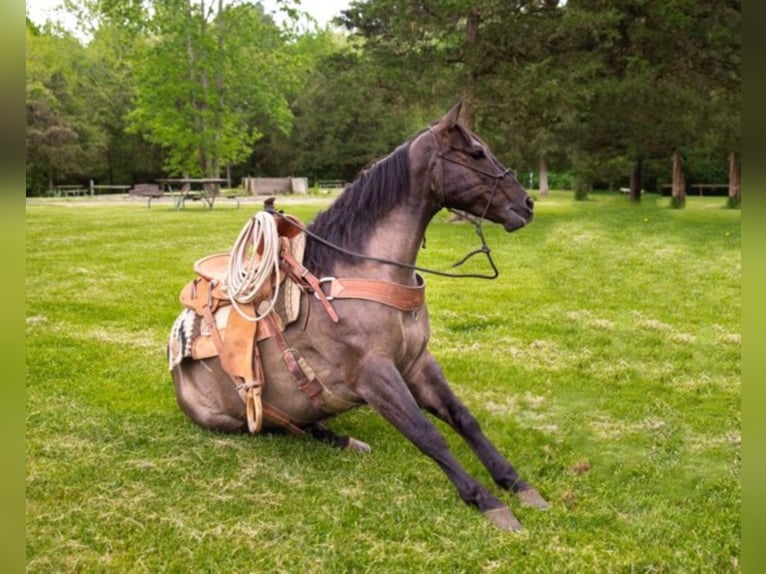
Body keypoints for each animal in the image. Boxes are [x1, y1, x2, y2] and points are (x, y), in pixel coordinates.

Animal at [171, 100, 548, 532]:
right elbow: (428, 434)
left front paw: (516, 483)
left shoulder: (418, 363)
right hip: (232, 420)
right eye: (476, 153)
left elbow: (463, 419)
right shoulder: (373, 375)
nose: (527, 205)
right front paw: (486, 501)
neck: (365, 271)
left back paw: (348, 441)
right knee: (281, 429)